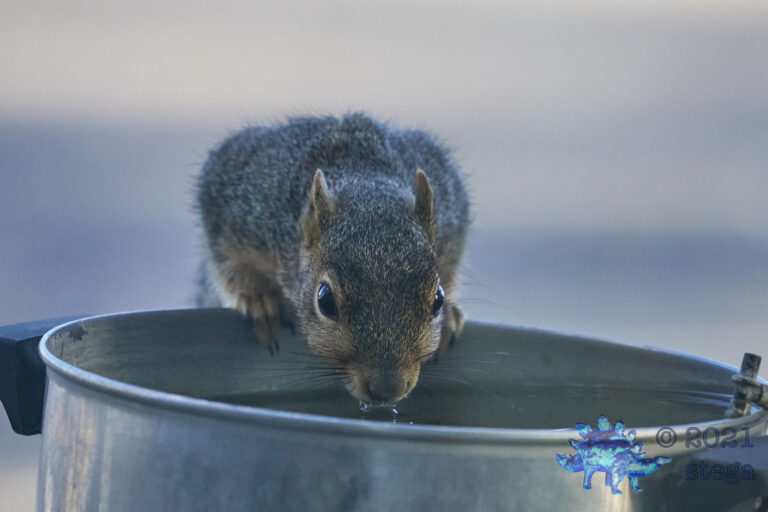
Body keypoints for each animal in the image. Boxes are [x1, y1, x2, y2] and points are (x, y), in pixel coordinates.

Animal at [196, 113, 470, 406]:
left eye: (437, 299)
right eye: (325, 301)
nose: (388, 389)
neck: (360, 171)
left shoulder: (452, 211)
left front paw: (449, 316)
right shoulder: (241, 203)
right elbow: (227, 260)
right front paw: (260, 301)